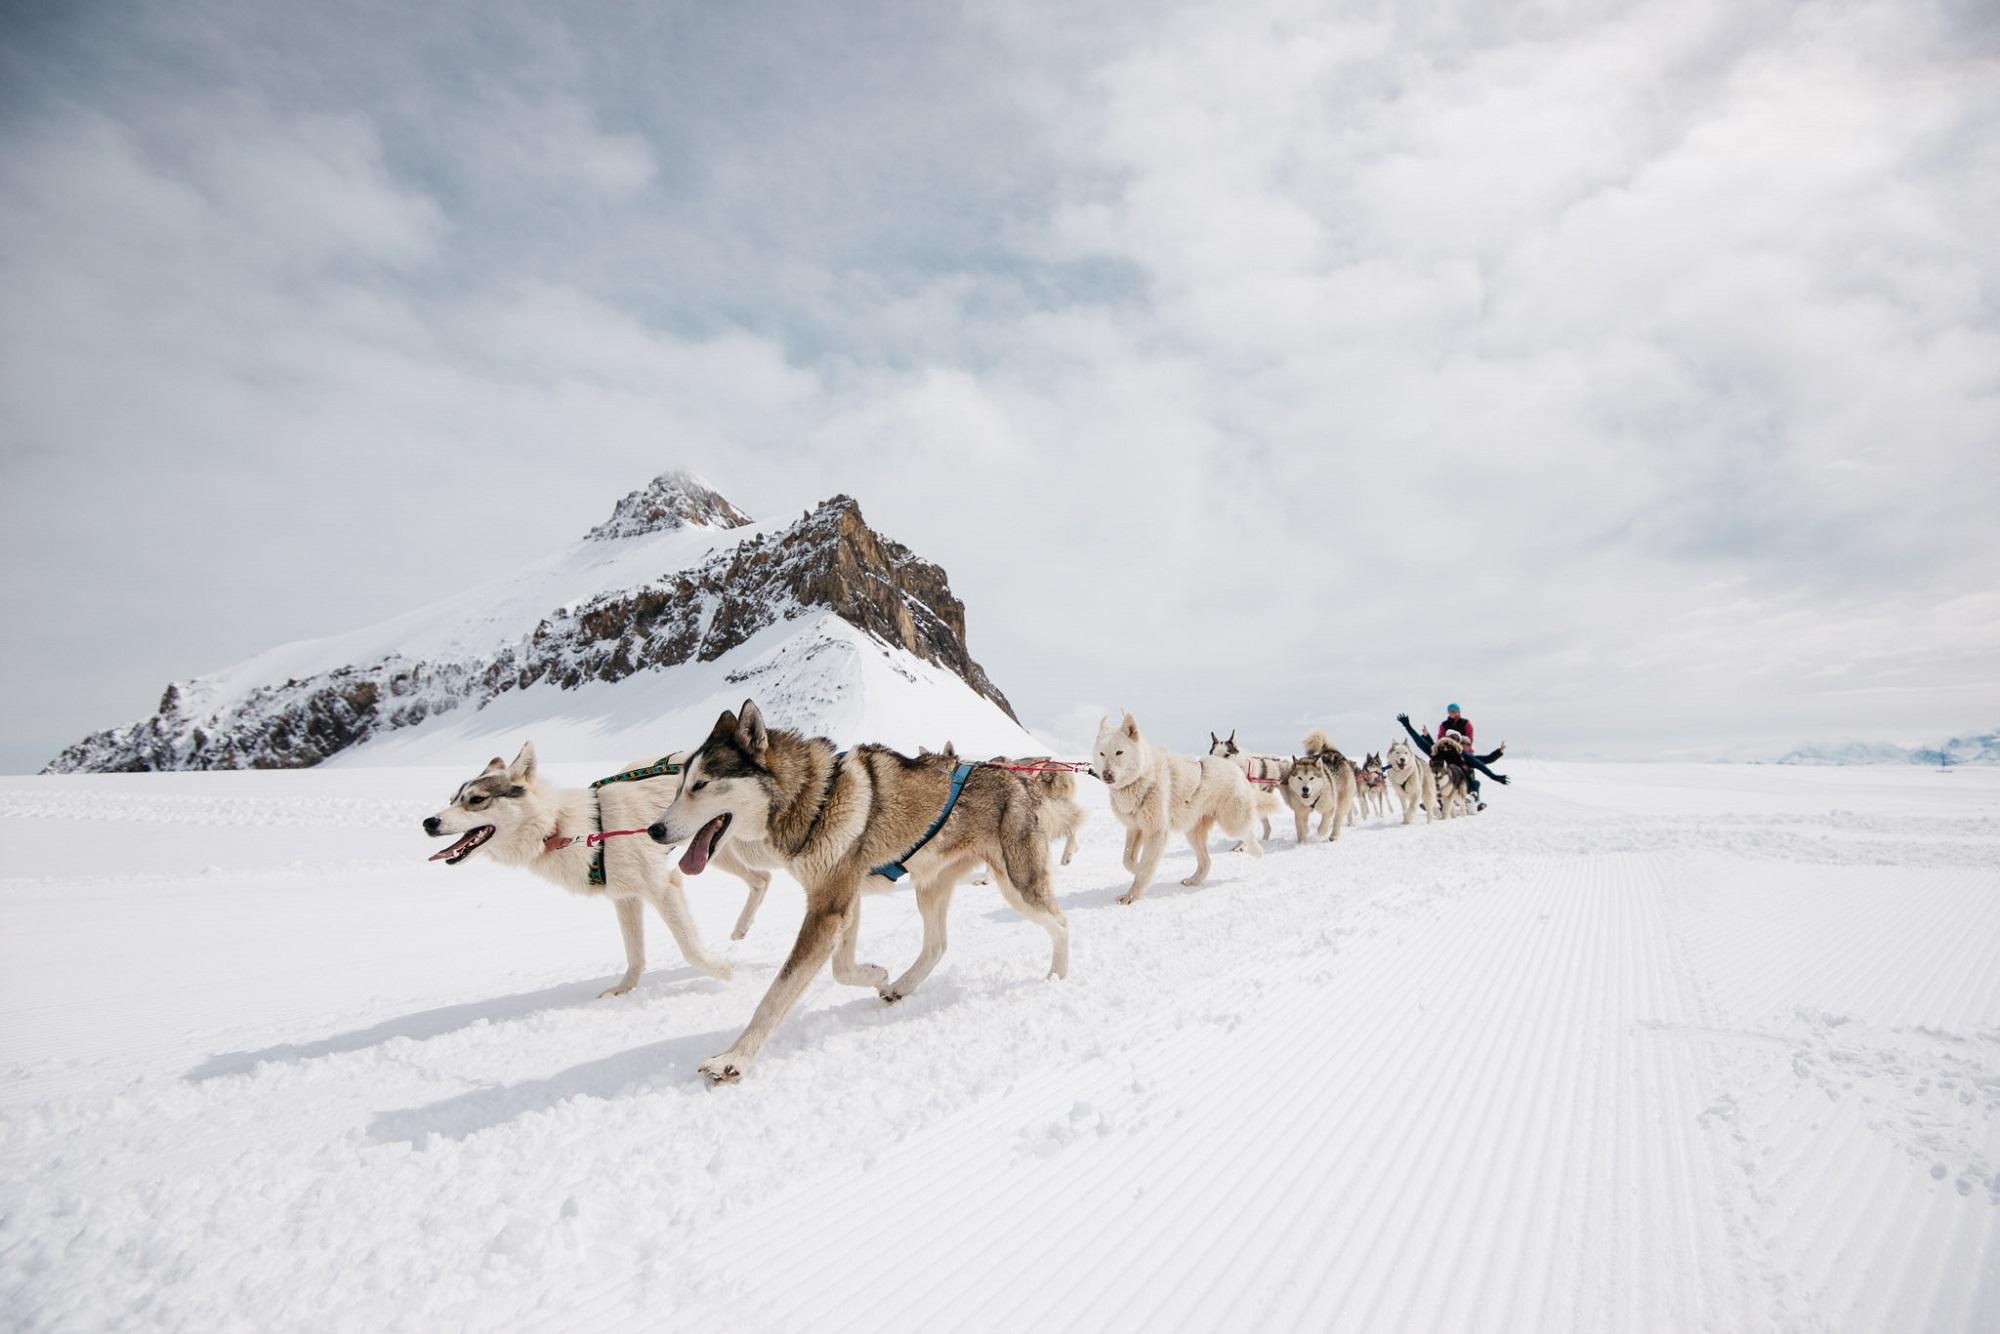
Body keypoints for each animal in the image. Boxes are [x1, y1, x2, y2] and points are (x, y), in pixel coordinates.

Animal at [422, 748, 764, 996]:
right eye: (453, 799)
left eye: (477, 799)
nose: (429, 822)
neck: (565, 826)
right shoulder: (626, 898)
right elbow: (635, 955)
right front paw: (623, 991)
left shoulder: (663, 888)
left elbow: (691, 950)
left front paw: (727, 974)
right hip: (712, 853)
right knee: (762, 879)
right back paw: (741, 929)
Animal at [648, 700, 1072, 1088]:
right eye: (678, 787)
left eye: (701, 785)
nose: (654, 830)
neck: (815, 799)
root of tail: (1016, 777)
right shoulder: (842, 901)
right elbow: (841, 968)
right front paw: (877, 974)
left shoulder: (827, 908)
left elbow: (776, 995)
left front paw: (733, 1059)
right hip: (929, 888)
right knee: (937, 945)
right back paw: (902, 985)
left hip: (1019, 885)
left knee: (1061, 923)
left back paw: (1058, 976)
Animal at [1104, 708, 1256, 908]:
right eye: (1102, 754)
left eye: (1119, 752)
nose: (1106, 774)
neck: (1141, 778)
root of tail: (1232, 767)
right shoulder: (1135, 828)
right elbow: (1127, 859)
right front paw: (1136, 868)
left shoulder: (1156, 831)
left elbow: (1145, 867)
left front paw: (1131, 895)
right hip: (1193, 832)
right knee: (1206, 861)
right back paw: (1194, 880)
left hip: (1232, 821)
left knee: (1248, 832)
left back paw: (1256, 850)